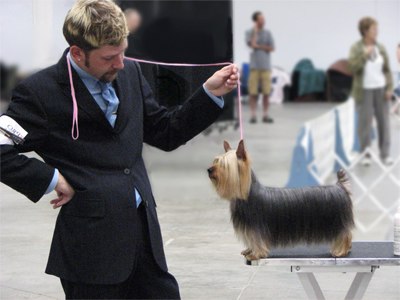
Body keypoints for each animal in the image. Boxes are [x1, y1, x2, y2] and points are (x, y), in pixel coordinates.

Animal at [208, 140, 354, 260]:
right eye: (215, 161)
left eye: (223, 165)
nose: (209, 170)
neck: (246, 194)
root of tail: (340, 186)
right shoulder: (250, 227)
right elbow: (252, 240)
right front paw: (249, 250)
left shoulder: (256, 227)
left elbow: (257, 240)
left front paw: (256, 254)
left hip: (337, 222)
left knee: (344, 235)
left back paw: (341, 251)